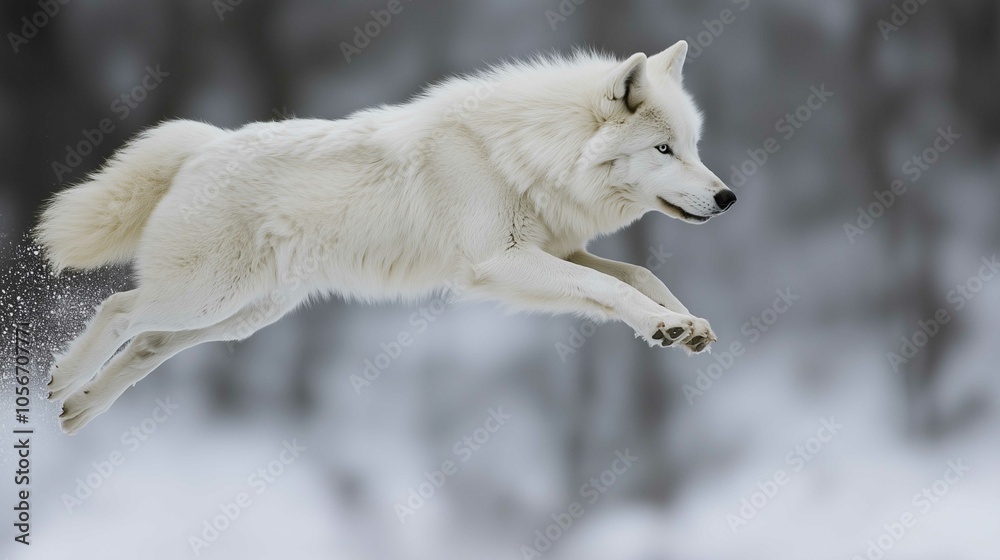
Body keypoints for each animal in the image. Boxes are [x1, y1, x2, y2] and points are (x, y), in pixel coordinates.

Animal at [36, 41, 736, 434]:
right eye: (664, 149)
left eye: (694, 146)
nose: (728, 198)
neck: (523, 154)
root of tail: (204, 142)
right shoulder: (502, 261)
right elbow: (612, 288)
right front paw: (665, 324)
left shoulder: (554, 254)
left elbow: (638, 276)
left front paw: (684, 324)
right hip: (207, 295)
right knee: (119, 307)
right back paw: (61, 381)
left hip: (240, 317)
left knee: (149, 342)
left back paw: (81, 409)